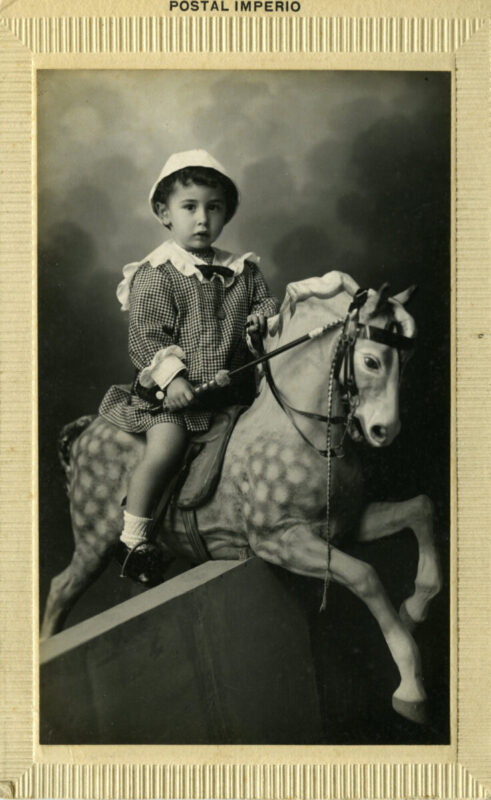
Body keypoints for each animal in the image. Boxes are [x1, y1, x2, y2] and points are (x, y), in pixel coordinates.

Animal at [41, 271, 442, 725]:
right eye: (373, 361)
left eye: (406, 361)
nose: (383, 431)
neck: (297, 431)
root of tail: (86, 428)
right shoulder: (279, 541)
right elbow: (365, 576)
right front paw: (410, 686)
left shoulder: (346, 524)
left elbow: (420, 508)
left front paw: (418, 605)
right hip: (93, 541)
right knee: (61, 587)